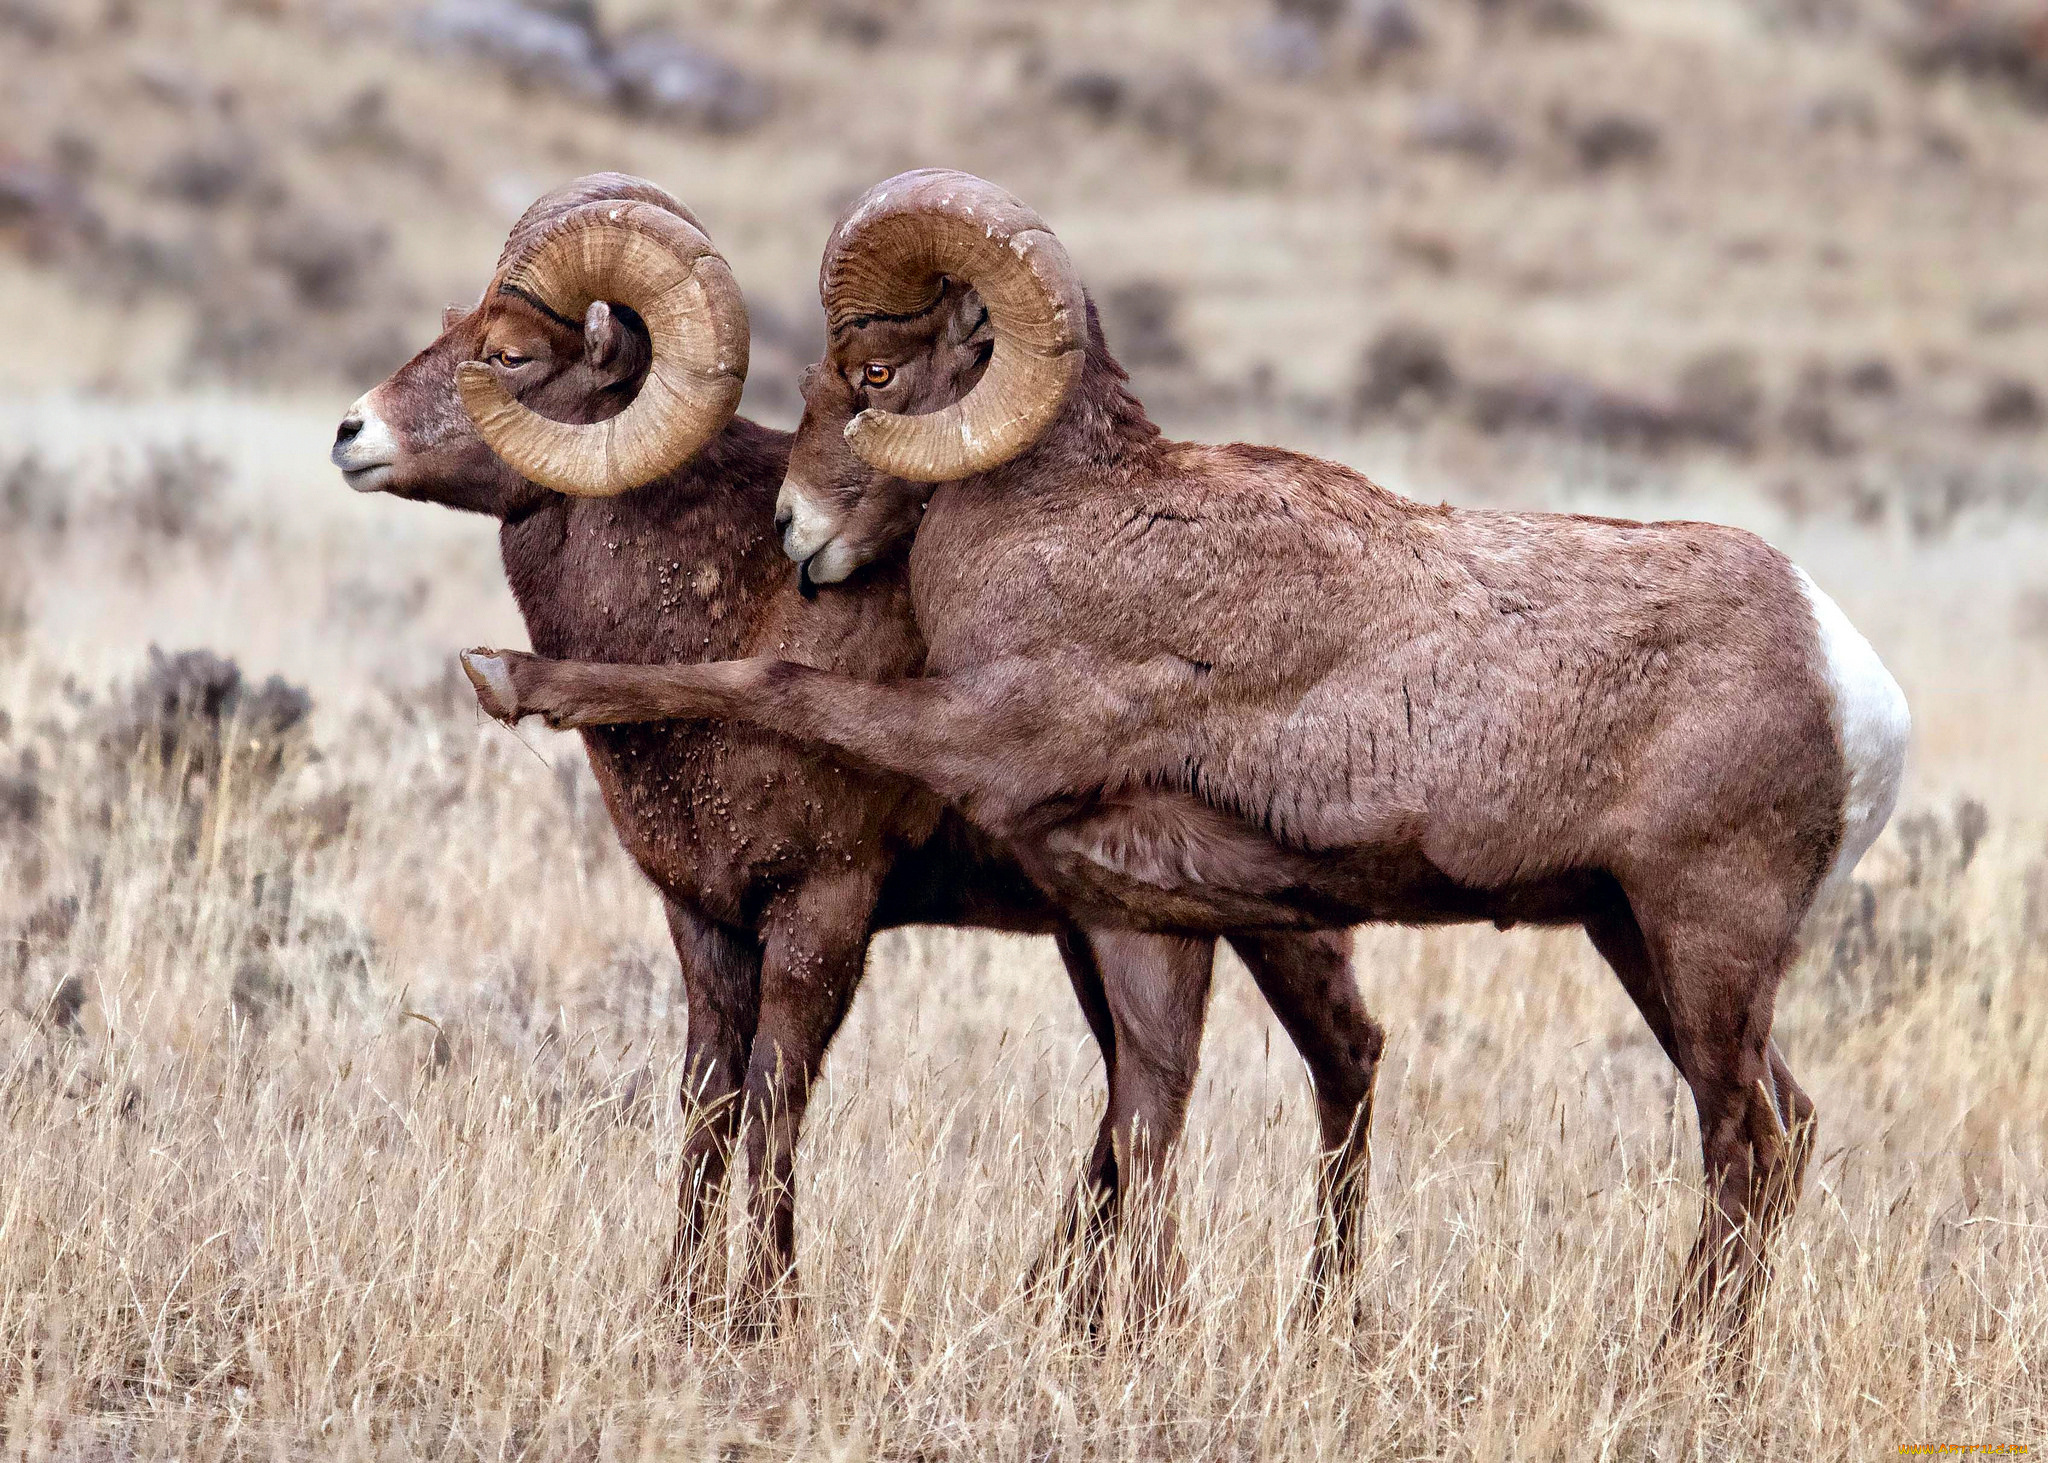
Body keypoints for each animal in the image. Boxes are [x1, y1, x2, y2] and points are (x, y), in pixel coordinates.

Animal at [335, 174, 1384, 1319]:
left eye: (514, 353)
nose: (351, 433)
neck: (727, 601)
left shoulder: (823, 908)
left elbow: (776, 1100)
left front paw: (766, 1310)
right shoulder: (705, 921)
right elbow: (708, 1105)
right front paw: (679, 1305)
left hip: (1273, 921)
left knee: (1340, 1060)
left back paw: (1322, 1314)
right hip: (1100, 927)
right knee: (1135, 1090)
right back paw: (1054, 1306)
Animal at [468, 168, 1916, 1311]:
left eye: (873, 376)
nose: (796, 534)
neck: (1071, 526)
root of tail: (1854, 682)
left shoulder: (972, 730)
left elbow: (770, 675)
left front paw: (509, 677)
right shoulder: (1144, 916)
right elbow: (1147, 1118)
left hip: (1705, 938)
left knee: (1744, 1146)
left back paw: (1683, 1363)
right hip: (1639, 938)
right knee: (1786, 1128)